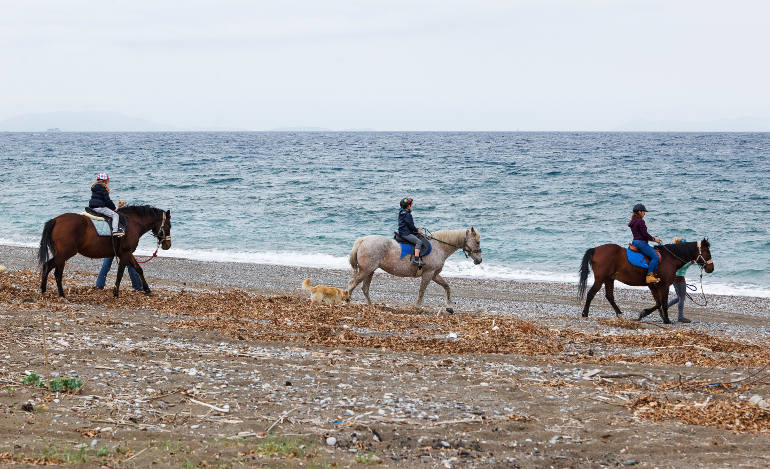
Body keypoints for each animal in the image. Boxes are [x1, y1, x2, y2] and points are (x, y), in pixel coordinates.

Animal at [39, 205, 171, 296]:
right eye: (169, 226)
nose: (168, 245)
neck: (132, 223)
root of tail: (56, 220)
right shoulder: (125, 253)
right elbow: (120, 273)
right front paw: (115, 292)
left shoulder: (127, 253)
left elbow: (139, 269)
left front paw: (147, 289)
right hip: (65, 254)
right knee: (57, 273)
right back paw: (61, 294)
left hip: (61, 254)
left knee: (47, 266)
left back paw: (43, 289)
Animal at [346, 228, 480, 310]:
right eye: (478, 242)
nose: (479, 260)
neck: (439, 247)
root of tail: (363, 240)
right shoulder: (428, 273)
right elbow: (422, 290)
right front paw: (417, 307)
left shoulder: (434, 274)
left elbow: (447, 287)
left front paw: (449, 306)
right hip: (365, 270)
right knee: (352, 284)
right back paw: (347, 302)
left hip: (370, 271)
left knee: (364, 288)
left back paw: (370, 306)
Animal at [580, 239, 712, 324]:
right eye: (708, 252)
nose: (711, 268)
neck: (669, 258)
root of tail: (596, 249)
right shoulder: (664, 285)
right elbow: (663, 303)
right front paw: (666, 320)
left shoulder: (653, 286)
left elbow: (658, 303)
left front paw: (646, 314)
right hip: (601, 279)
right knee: (591, 294)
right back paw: (585, 313)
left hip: (609, 279)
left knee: (609, 296)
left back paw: (619, 314)